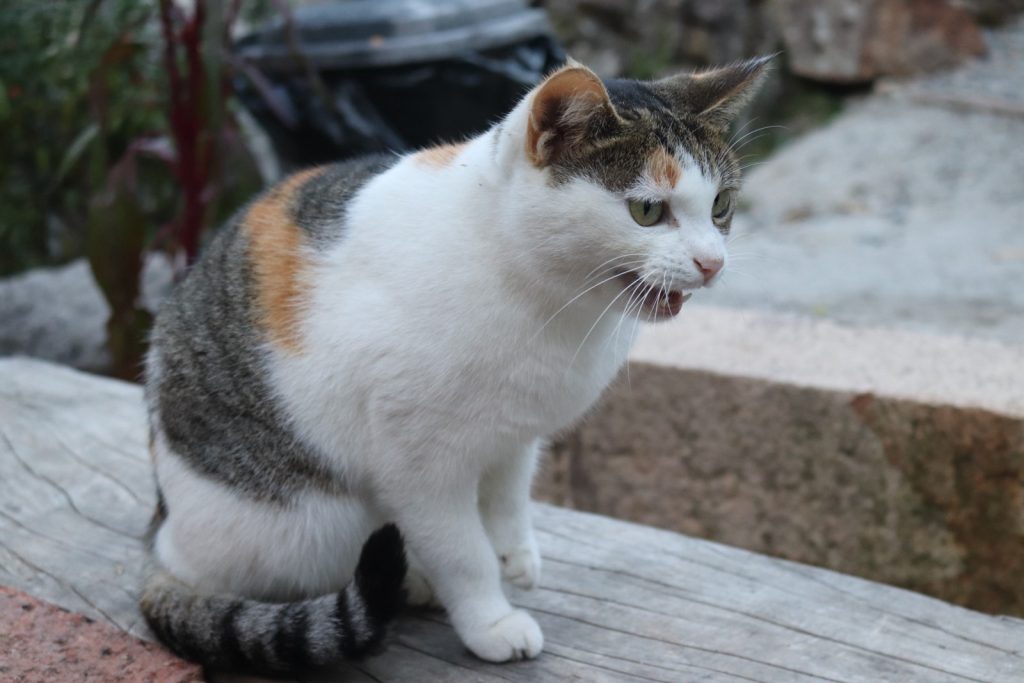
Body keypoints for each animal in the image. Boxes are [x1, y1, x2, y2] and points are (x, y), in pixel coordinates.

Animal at [140, 56, 770, 675]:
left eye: (720, 205)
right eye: (646, 210)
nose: (712, 263)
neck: (547, 300)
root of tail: (162, 534)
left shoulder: (516, 434)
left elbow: (509, 498)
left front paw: (515, 553)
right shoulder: (419, 469)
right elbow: (463, 554)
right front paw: (491, 621)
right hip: (311, 523)